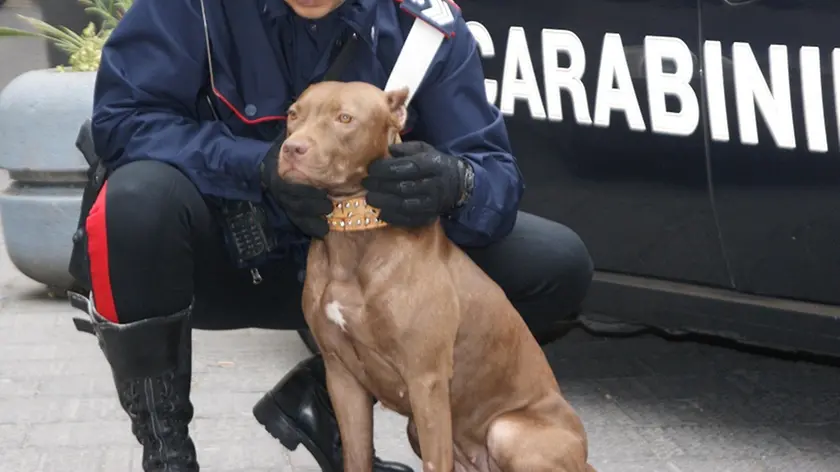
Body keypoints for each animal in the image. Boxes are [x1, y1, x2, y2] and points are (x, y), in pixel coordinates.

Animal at [276, 81, 596, 472]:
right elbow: (356, 455)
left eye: (345, 118)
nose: (292, 148)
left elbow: (434, 462)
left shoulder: (425, 382)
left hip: (506, 431)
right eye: (293, 115)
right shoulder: (342, 377)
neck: (355, 231)